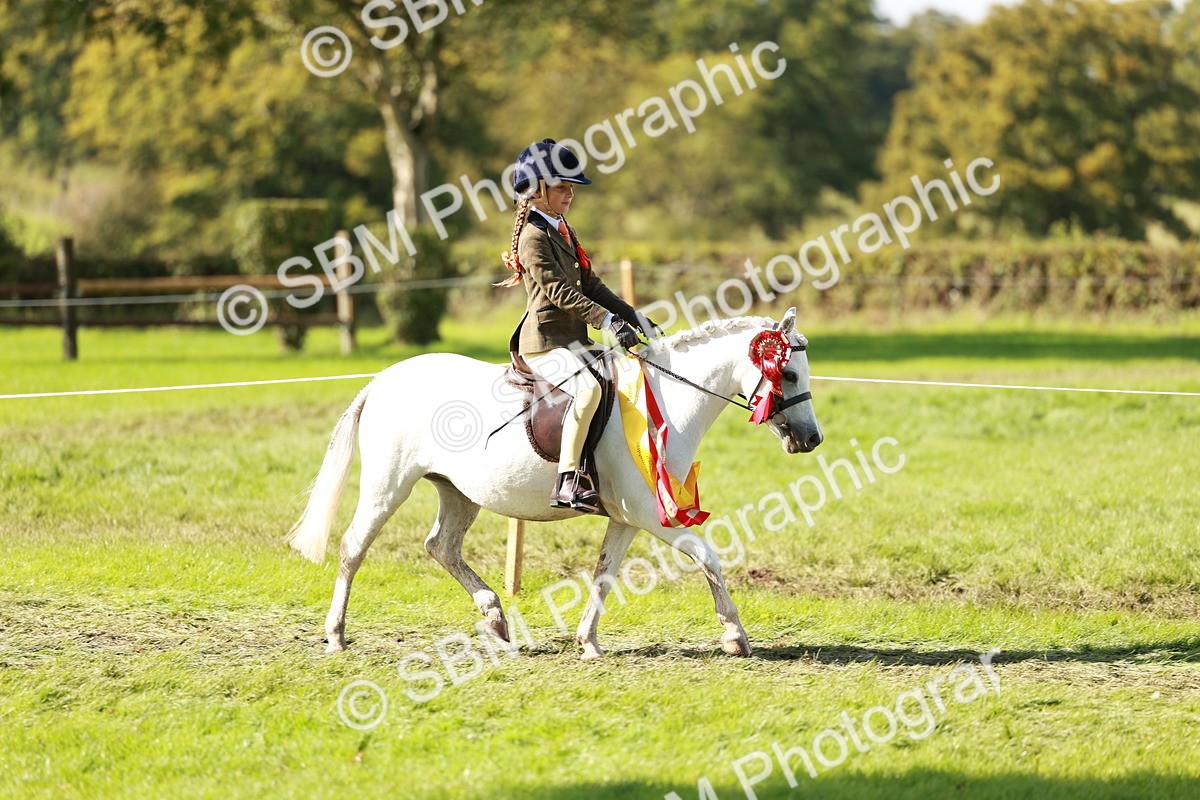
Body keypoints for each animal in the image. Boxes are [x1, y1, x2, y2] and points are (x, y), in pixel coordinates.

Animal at [287, 308, 823, 659]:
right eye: (789, 375)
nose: (811, 439)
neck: (666, 399)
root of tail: (382, 380)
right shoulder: (652, 514)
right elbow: (708, 556)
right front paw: (735, 636)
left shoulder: (627, 518)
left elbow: (605, 573)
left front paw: (587, 642)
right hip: (389, 484)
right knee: (354, 546)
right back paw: (336, 635)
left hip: (458, 490)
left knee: (441, 546)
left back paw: (496, 618)